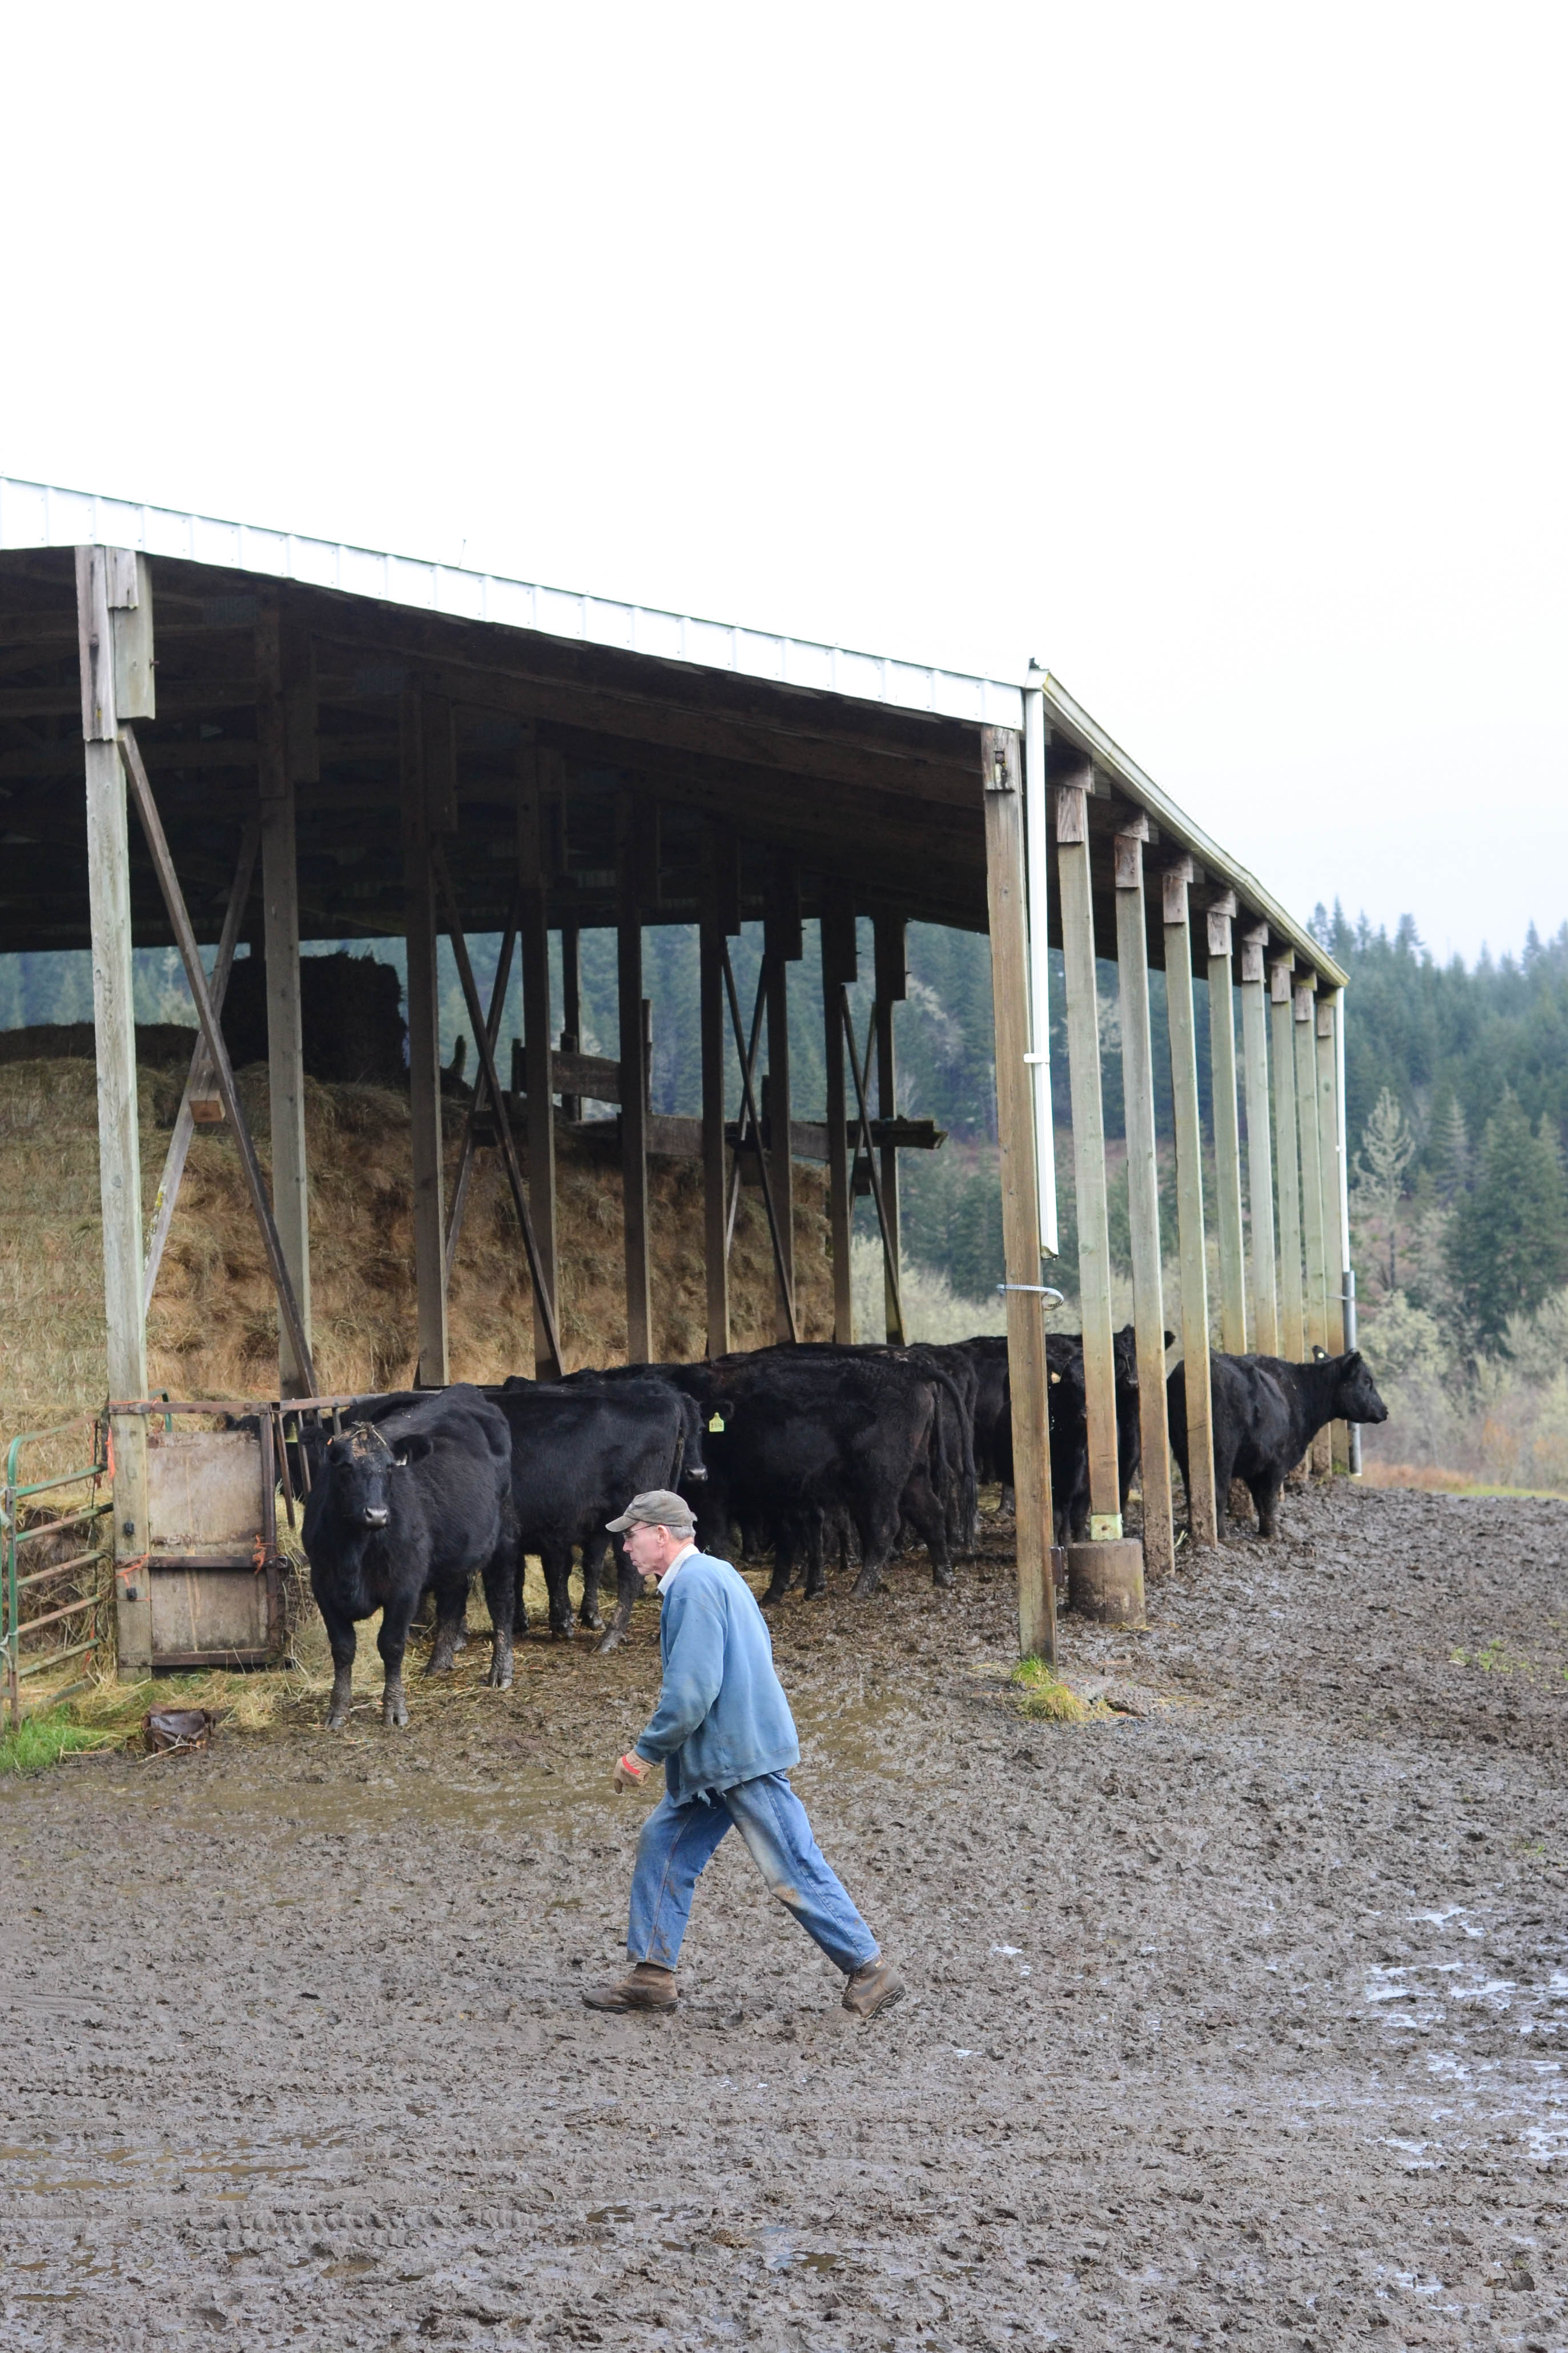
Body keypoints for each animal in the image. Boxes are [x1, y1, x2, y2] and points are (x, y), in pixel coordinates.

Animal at [308, 1374, 521, 1732]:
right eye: (345, 1467)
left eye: (390, 1469)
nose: (377, 1514)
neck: (355, 1548)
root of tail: (465, 1391)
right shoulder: (323, 1584)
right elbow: (343, 1648)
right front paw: (338, 1709)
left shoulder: (404, 1587)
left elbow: (392, 1645)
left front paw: (394, 1708)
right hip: (455, 1550)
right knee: (453, 1599)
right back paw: (439, 1662)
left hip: (503, 1537)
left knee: (501, 1600)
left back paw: (501, 1671)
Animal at [1171, 1346, 1392, 1543]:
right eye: (1367, 1381)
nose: (1385, 1410)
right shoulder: (1276, 1464)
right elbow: (1269, 1499)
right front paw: (1271, 1534)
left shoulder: (1256, 1465)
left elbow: (1260, 1500)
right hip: (1222, 1453)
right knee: (1217, 1491)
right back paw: (1221, 1536)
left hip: (1184, 1454)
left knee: (1195, 1492)